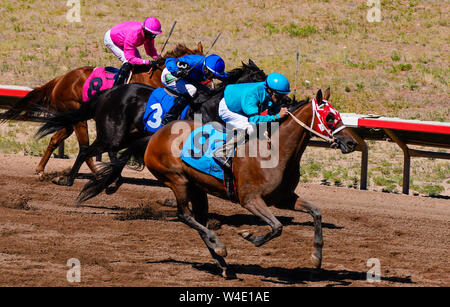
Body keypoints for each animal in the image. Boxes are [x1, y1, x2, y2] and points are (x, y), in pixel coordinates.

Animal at [0, 42, 204, 179]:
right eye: (203, 68)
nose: (207, 88)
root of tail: (61, 78)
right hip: (78, 118)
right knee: (84, 146)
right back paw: (96, 173)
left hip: (70, 118)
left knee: (56, 140)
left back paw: (41, 169)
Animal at [36, 59, 268, 189]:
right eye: (261, 79)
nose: (275, 101)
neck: (210, 105)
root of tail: (108, 93)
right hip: (111, 135)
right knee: (86, 150)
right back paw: (68, 179)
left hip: (127, 135)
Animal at [78, 88, 358, 280]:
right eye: (330, 118)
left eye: (338, 115)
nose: (352, 142)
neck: (275, 151)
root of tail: (154, 135)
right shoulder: (250, 200)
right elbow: (277, 227)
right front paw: (249, 236)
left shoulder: (284, 198)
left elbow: (316, 212)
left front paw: (317, 257)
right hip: (177, 180)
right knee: (184, 215)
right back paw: (220, 248)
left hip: (197, 188)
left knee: (198, 220)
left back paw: (223, 265)